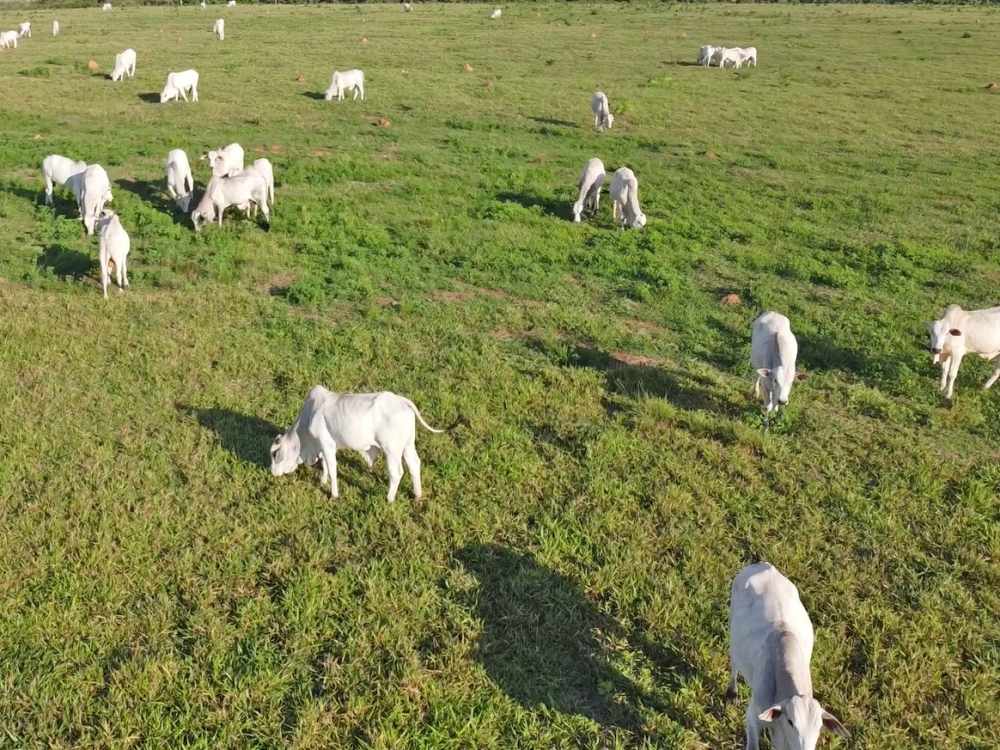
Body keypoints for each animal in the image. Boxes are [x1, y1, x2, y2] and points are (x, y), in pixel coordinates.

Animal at [268, 388, 452, 506]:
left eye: (275, 454)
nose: (272, 472)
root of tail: (401, 401)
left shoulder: (326, 445)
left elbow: (332, 469)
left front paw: (334, 495)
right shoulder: (325, 445)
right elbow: (325, 465)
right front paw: (322, 481)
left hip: (391, 450)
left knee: (396, 472)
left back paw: (389, 499)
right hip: (407, 444)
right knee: (414, 464)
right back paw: (417, 495)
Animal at [728, 564, 852, 750]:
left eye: (819, 727)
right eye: (791, 722)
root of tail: (763, 565)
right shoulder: (752, 714)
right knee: (734, 663)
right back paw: (731, 692)